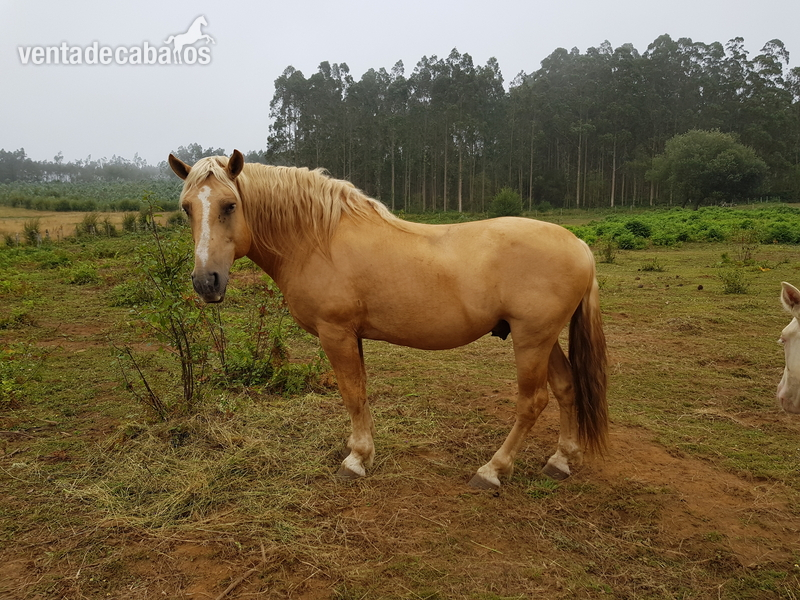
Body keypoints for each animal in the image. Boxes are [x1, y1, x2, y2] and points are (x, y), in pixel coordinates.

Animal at [168, 150, 609, 488]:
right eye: (187, 209)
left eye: (230, 205)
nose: (206, 282)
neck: (318, 239)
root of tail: (579, 244)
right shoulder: (353, 335)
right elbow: (360, 392)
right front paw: (361, 451)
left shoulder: (336, 333)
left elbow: (351, 393)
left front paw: (356, 460)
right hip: (544, 339)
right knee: (567, 388)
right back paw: (559, 461)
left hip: (532, 339)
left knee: (532, 402)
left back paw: (492, 470)